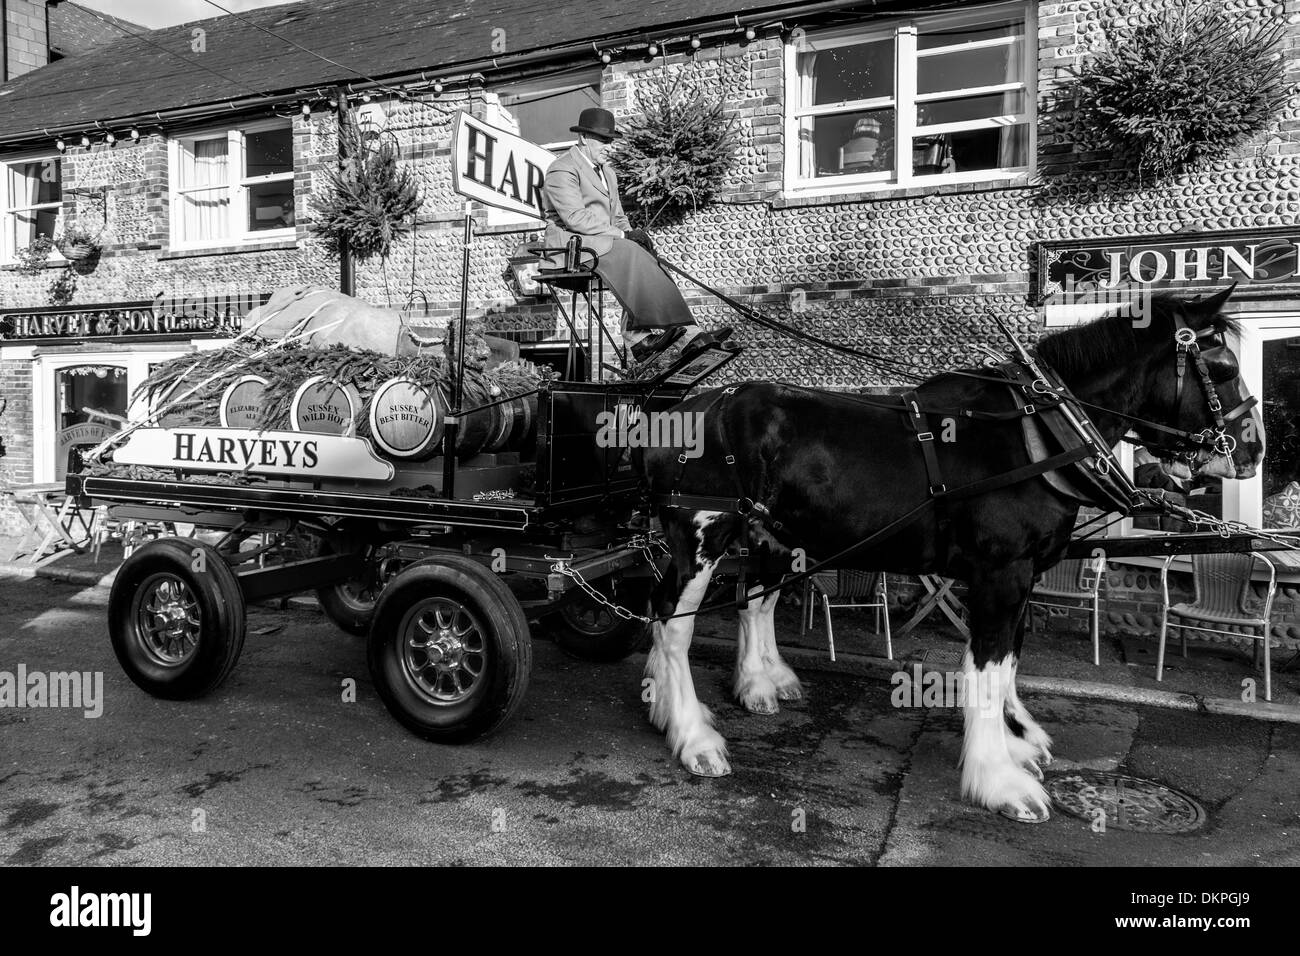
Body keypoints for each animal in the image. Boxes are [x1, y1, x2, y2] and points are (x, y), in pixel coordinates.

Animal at [634, 287, 1263, 827]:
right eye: (1224, 369)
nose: (1254, 451)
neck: (1041, 433)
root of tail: (681, 409)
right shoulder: (1000, 572)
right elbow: (984, 668)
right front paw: (999, 779)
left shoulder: (1022, 574)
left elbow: (1009, 657)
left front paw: (1018, 738)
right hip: (703, 533)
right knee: (670, 619)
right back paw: (691, 733)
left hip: (772, 535)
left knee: (751, 603)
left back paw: (749, 686)